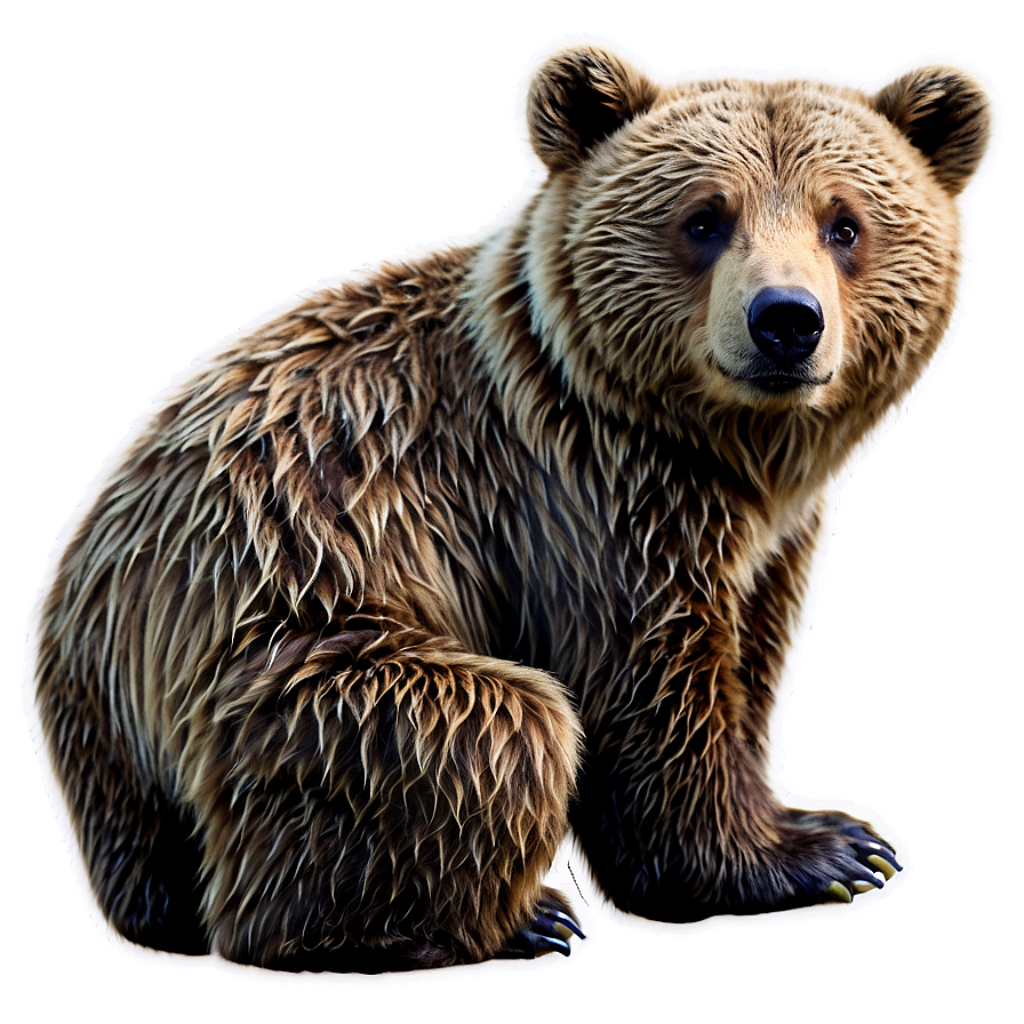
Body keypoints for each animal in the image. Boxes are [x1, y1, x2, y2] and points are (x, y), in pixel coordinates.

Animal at [25, 34, 1000, 973]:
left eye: (845, 223)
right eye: (704, 218)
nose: (786, 319)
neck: (718, 448)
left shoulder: (759, 534)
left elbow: (750, 658)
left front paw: (822, 830)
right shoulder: (580, 502)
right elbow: (651, 687)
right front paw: (823, 851)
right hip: (283, 635)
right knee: (492, 731)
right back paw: (502, 922)